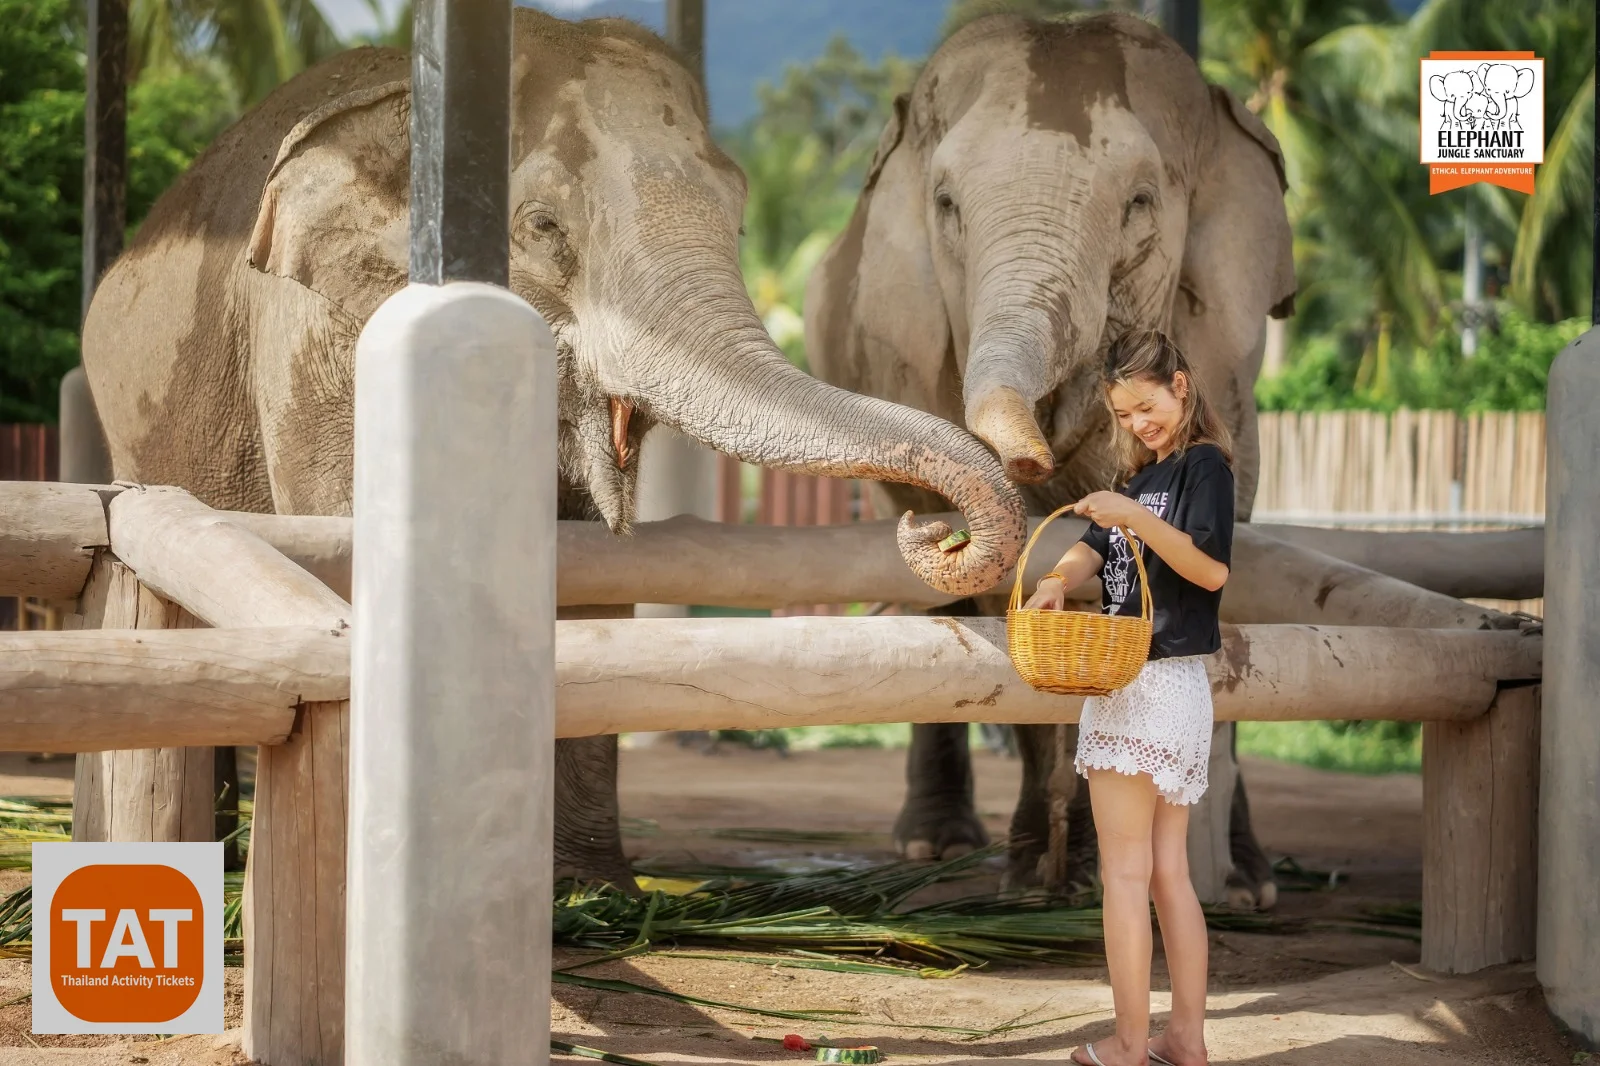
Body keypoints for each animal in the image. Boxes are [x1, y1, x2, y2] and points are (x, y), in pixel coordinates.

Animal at [82, 9, 1028, 890]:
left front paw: (589, 893)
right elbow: (347, 541)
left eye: (740, 217)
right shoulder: (313, 342)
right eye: (541, 226)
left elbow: (587, 579)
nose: (932, 530)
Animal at [804, 12, 1296, 906]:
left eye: (1139, 204)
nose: (1032, 463)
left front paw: (1238, 886)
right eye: (946, 205)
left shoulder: (1229, 355)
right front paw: (1041, 880)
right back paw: (936, 844)